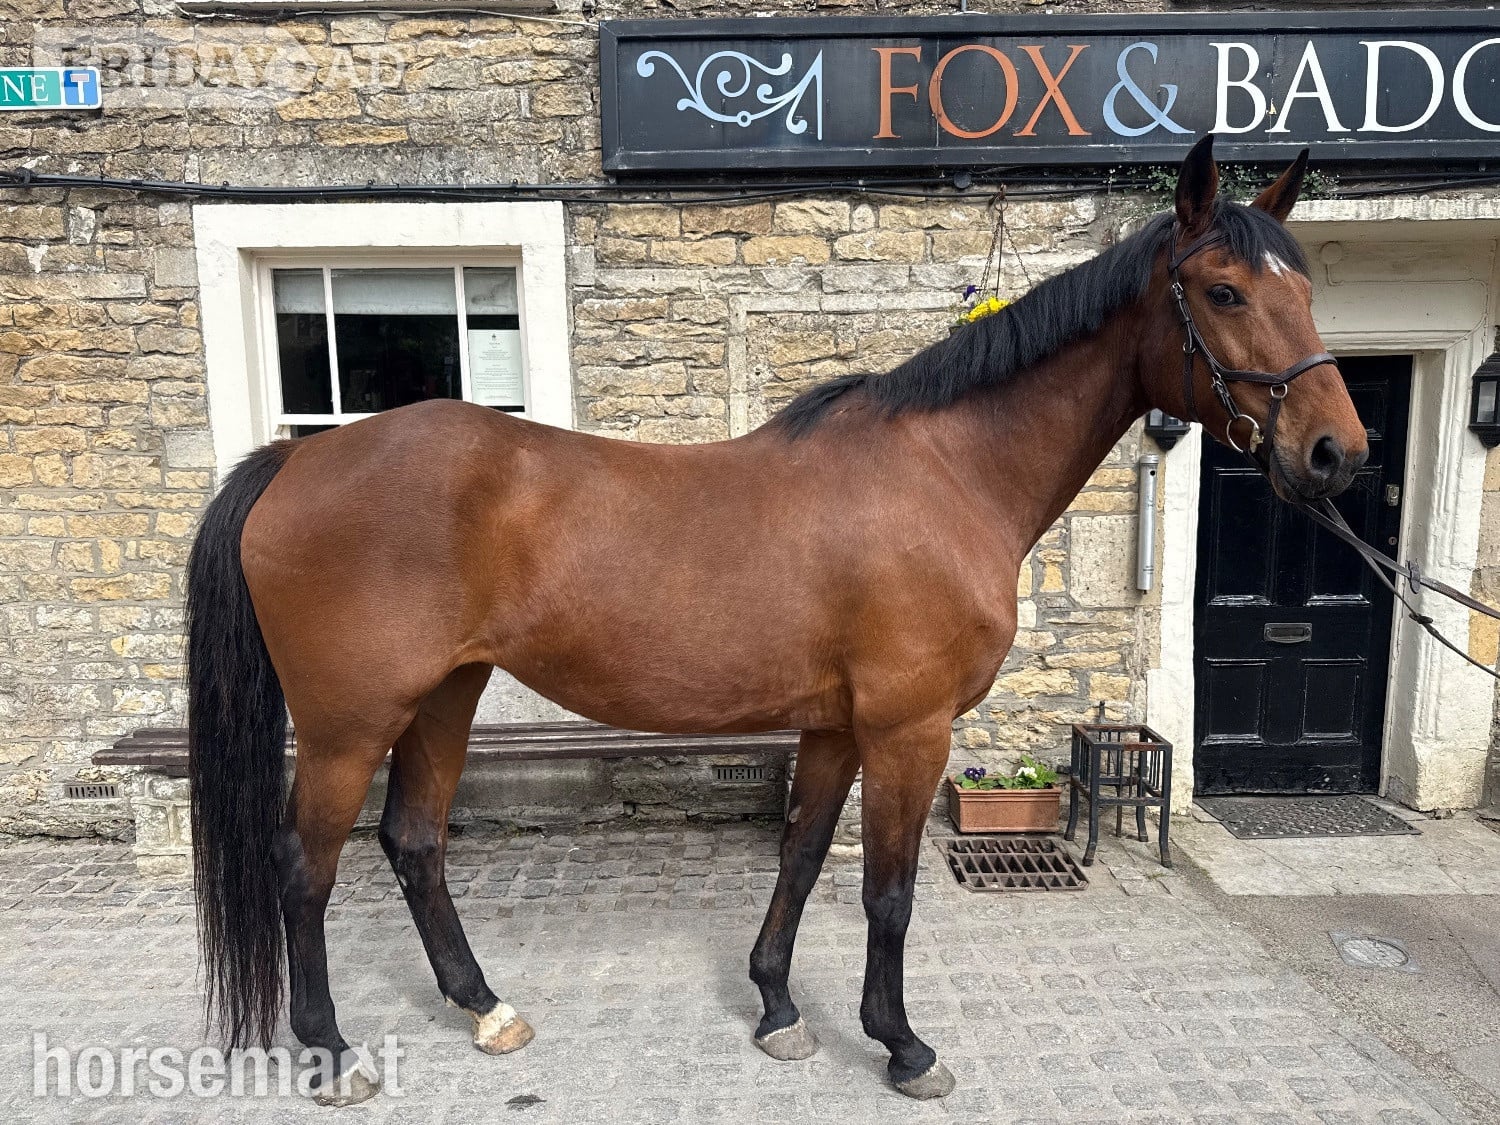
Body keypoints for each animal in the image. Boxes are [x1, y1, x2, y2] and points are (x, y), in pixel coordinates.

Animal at [184, 135, 1368, 1105]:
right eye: (1222, 290)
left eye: (1309, 289)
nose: (1336, 454)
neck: (948, 473)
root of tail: (296, 457)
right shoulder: (908, 730)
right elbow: (888, 894)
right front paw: (901, 1045)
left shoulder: (837, 724)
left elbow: (800, 855)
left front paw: (779, 1010)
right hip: (348, 721)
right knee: (305, 865)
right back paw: (331, 1049)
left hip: (445, 695)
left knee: (414, 841)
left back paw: (485, 1007)